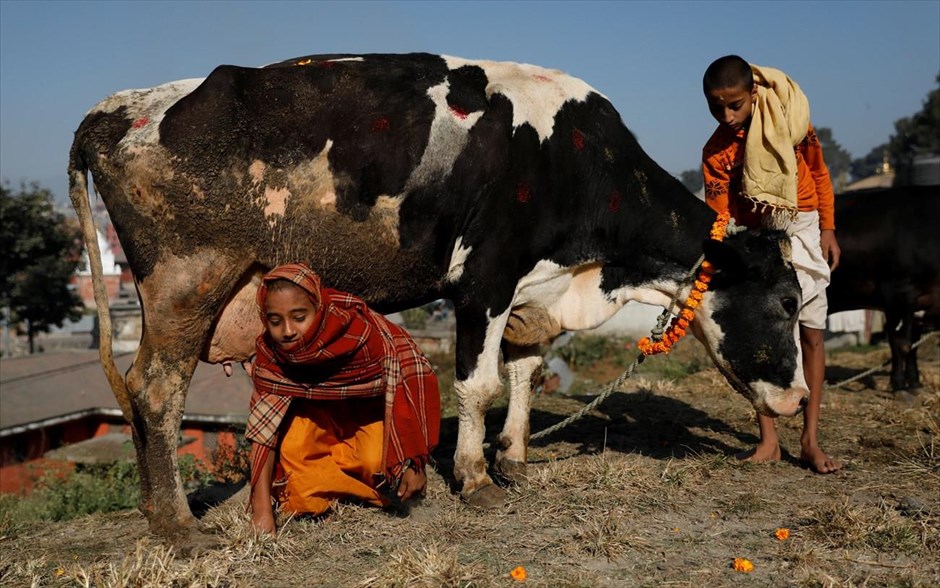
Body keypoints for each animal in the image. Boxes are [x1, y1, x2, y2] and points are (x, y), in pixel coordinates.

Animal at [68, 55, 808, 544]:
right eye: (784, 303)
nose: (800, 398)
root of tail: (118, 108)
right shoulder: (485, 278)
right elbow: (478, 385)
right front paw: (475, 479)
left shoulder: (530, 292)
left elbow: (525, 372)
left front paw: (514, 460)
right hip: (187, 280)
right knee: (155, 390)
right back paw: (178, 524)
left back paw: (157, 510)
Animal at [828, 186, 940, 392]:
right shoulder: (898, 292)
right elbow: (901, 344)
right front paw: (899, 386)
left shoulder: (918, 305)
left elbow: (913, 346)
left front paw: (914, 383)